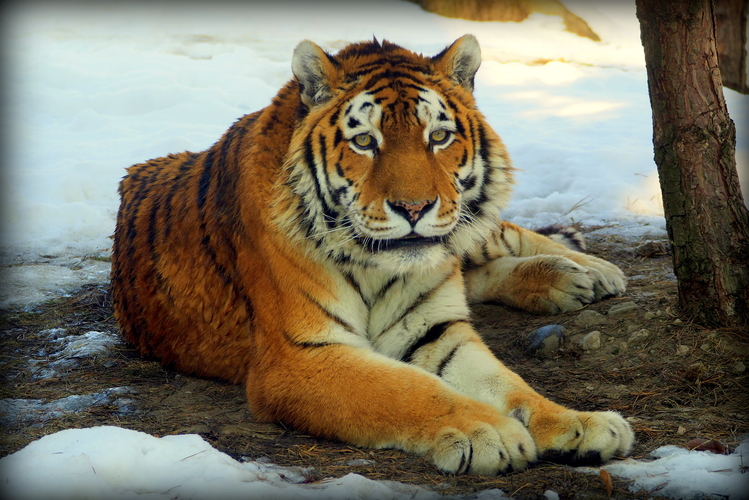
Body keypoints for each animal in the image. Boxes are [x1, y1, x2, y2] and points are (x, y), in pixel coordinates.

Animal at [112, 36, 632, 476]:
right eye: (364, 142)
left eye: (438, 137)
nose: (414, 208)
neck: (377, 267)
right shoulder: (299, 357)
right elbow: (408, 390)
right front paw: (489, 432)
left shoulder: (435, 329)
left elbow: (509, 383)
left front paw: (579, 424)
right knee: (478, 273)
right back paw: (568, 278)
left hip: (470, 228)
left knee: (502, 236)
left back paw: (593, 271)